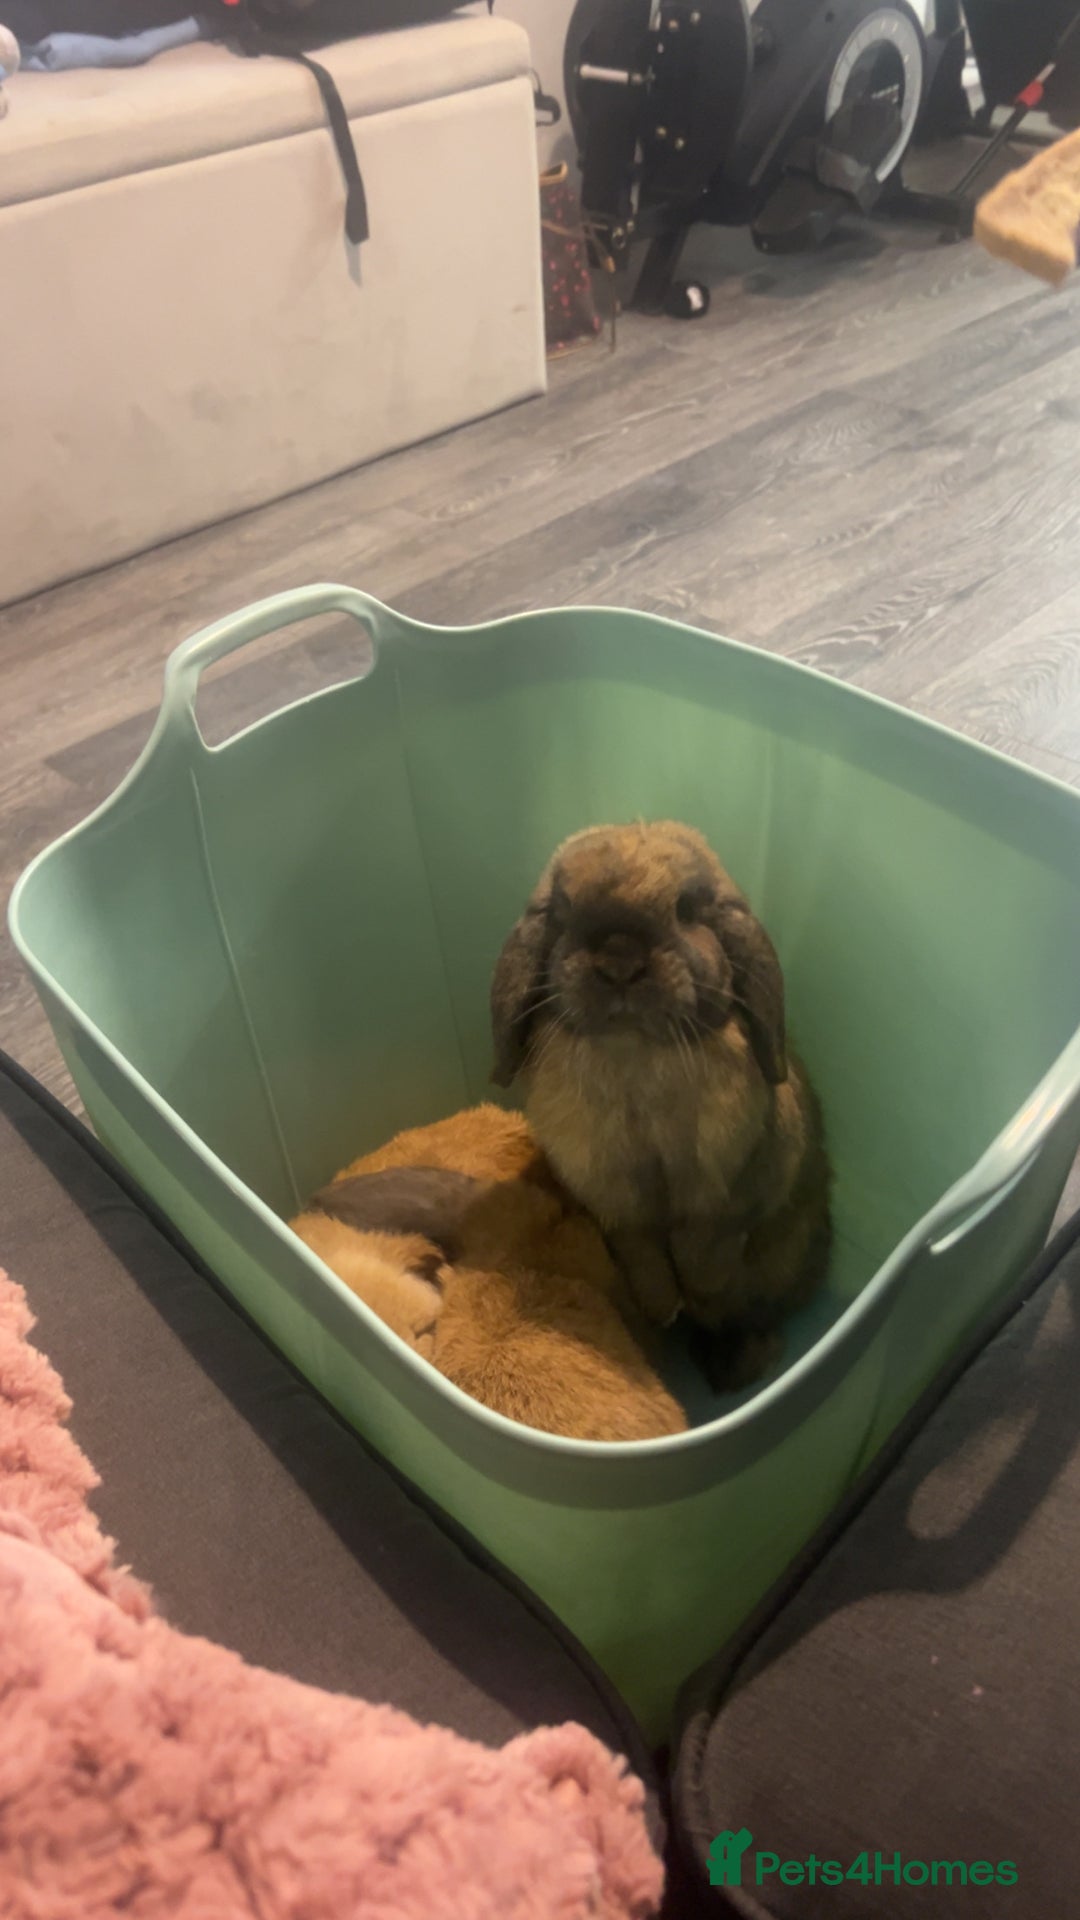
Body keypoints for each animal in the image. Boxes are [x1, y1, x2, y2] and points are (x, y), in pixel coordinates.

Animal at [490, 822, 831, 1391]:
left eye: (687, 910)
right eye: (562, 911)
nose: (619, 962)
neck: (636, 1053)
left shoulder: (731, 1193)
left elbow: (705, 1244)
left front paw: (699, 1293)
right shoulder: (614, 1207)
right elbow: (642, 1253)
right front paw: (664, 1308)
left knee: (760, 1315)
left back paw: (734, 1365)